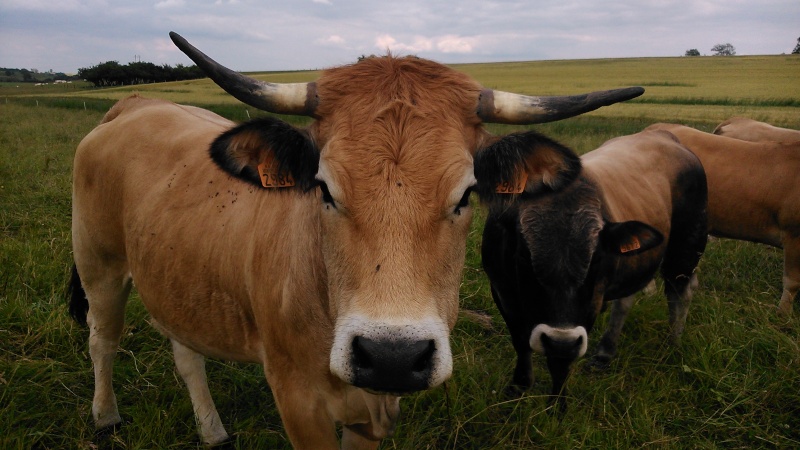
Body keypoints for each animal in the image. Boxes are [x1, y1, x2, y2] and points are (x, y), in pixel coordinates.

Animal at [70, 30, 644, 446]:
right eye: (324, 188)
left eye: (466, 195)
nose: (391, 355)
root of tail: (135, 103)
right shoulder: (298, 402)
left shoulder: (375, 409)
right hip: (99, 266)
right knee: (103, 339)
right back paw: (105, 416)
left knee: (186, 352)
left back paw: (212, 430)